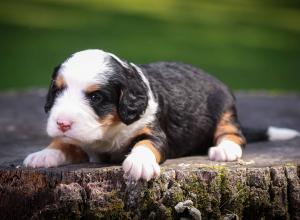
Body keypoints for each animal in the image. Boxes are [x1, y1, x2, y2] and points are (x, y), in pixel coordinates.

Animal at [24, 49, 300, 180]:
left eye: (96, 97)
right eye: (57, 90)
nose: (62, 123)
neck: (107, 132)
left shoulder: (154, 130)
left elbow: (146, 144)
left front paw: (139, 163)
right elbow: (64, 143)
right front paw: (44, 154)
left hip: (224, 109)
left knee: (233, 133)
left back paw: (225, 149)